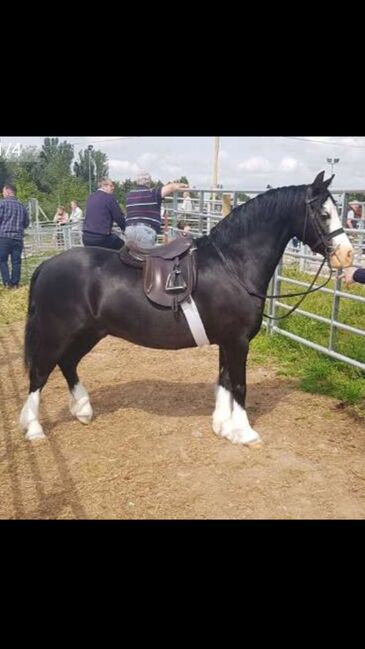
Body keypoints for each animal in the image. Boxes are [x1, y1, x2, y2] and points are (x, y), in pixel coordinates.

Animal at [19, 171, 352, 446]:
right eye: (323, 213)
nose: (347, 255)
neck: (233, 265)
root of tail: (47, 266)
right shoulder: (238, 342)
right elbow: (239, 385)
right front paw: (245, 433)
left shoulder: (227, 342)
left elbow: (224, 381)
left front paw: (223, 426)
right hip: (58, 332)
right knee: (40, 373)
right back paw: (34, 428)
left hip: (89, 332)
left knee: (68, 363)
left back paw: (83, 410)